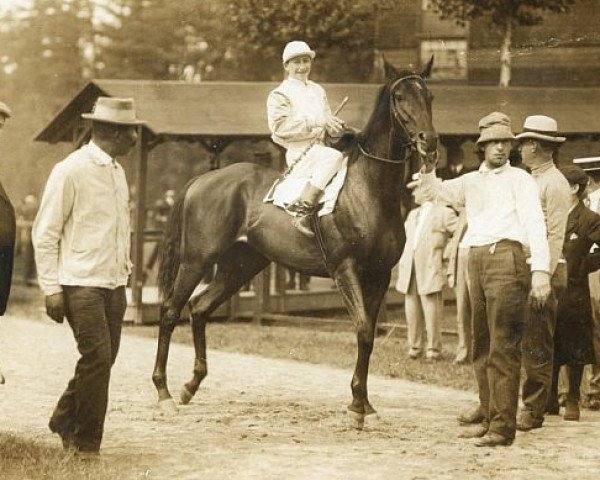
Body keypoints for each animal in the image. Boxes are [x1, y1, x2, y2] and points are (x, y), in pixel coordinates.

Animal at [152, 59, 438, 428]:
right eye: (400, 96)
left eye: (429, 96)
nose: (429, 141)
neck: (369, 191)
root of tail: (203, 179)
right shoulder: (345, 269)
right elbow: (362, 329)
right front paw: (356, 407)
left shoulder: (379, 275)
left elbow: (370, 335)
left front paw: (365, 405)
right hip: (196, 261)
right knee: (170, 310)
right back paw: (164, 393)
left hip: (240, 266)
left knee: (199, 308)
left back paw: (190, 385)